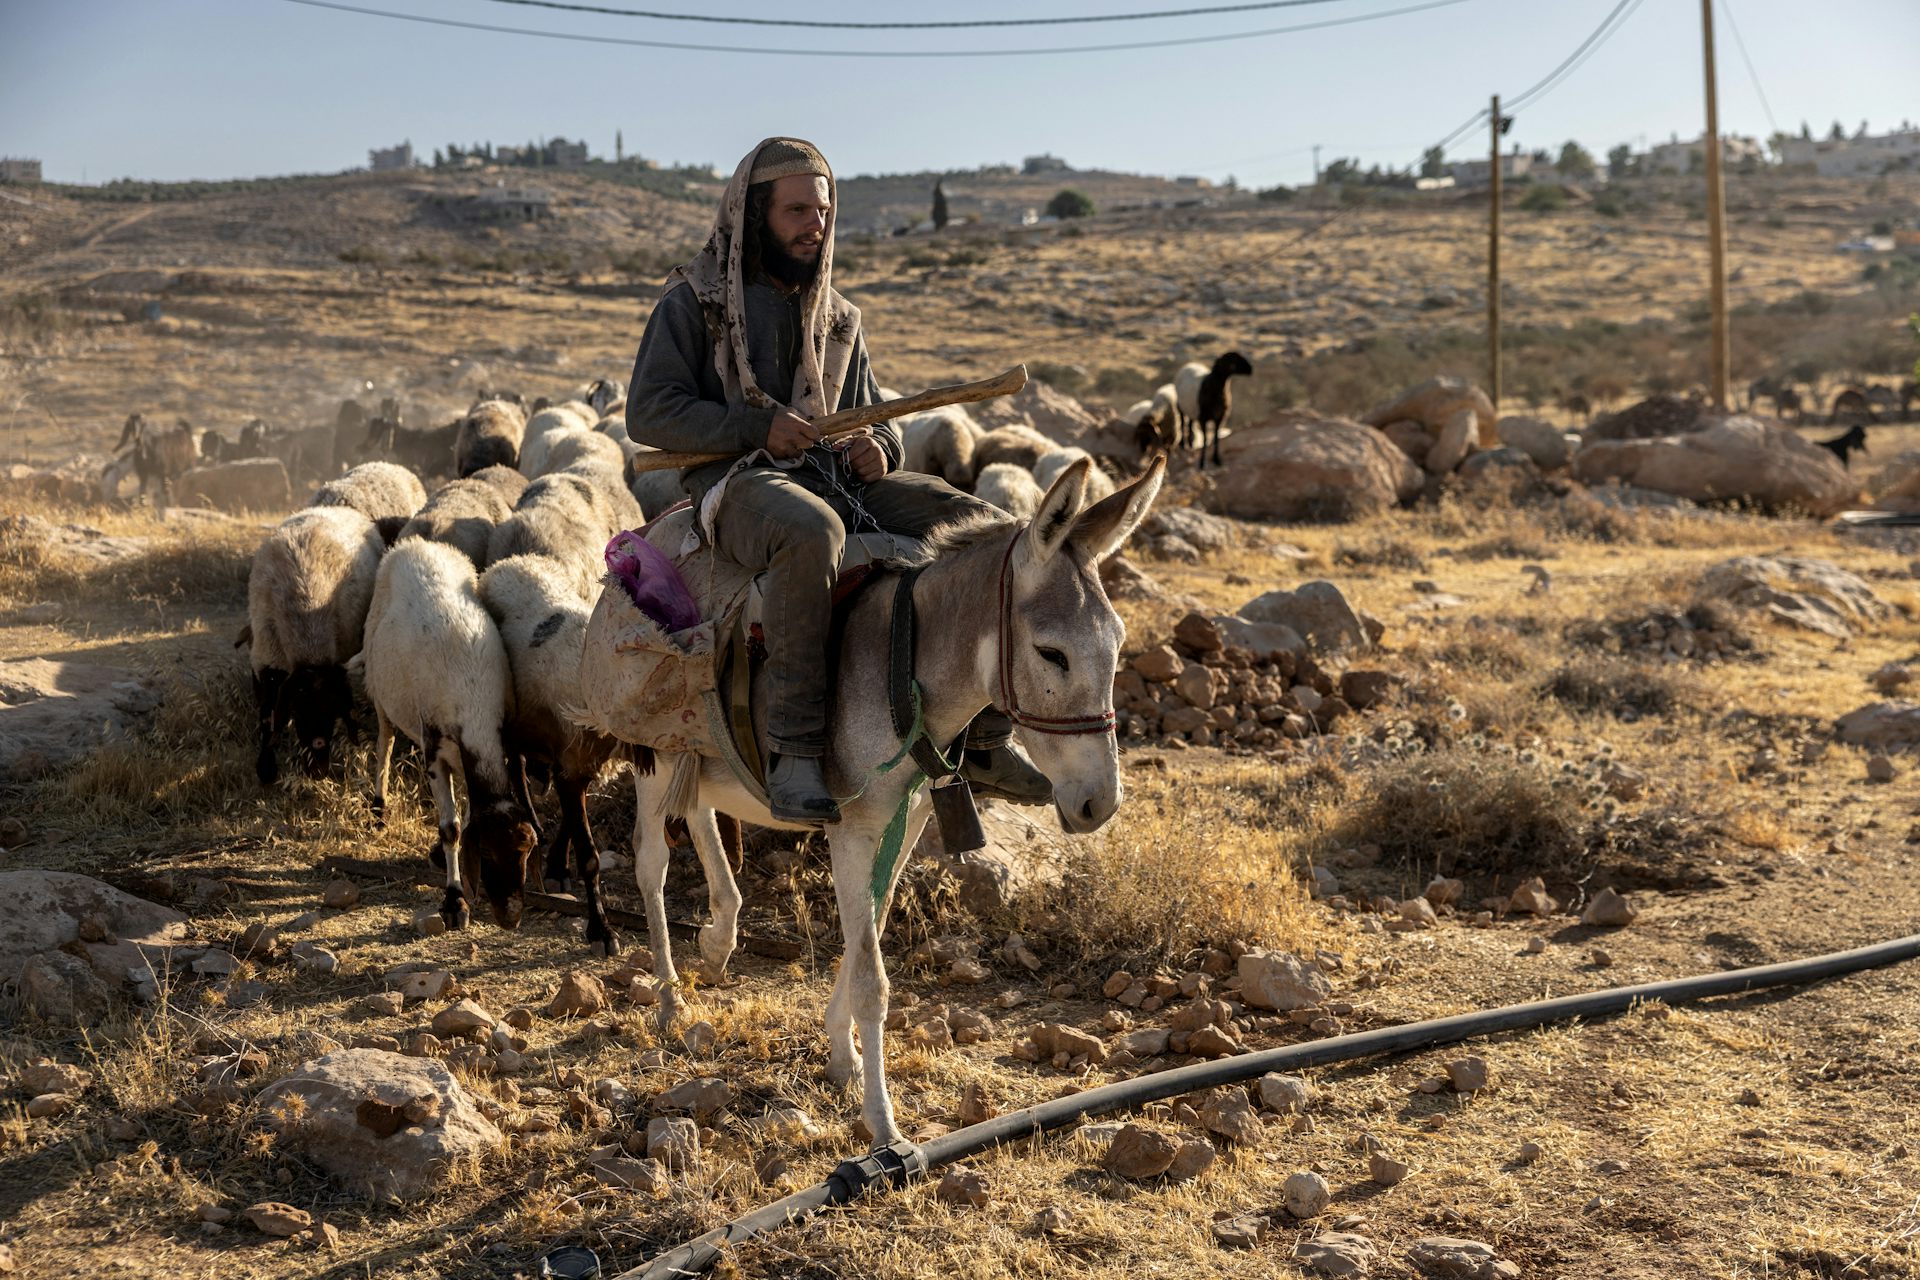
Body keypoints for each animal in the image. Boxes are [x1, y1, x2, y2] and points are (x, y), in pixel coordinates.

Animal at [245, 505, 386, 786]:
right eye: (297, 710)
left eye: (333, 712)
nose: (317, 771)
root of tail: (337, 508)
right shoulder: (268, 658)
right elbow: (267, 717)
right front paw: (266, 769)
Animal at [361, 538, 539, 932]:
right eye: (485, 852)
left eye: (527, 850)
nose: (511, 918)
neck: (474, 701)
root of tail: (416, 544)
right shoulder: (434, 753)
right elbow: (452, 828)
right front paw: (455, 901)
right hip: (380, 691)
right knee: (385, 742)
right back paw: (379, 810)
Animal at [479, 552, 623, 953]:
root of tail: (509, 562)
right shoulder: (573, 759)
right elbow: (589, 857)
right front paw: (601, 930)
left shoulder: (578, 759)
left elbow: (576, 820)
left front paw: (558, 866)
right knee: (515, 768)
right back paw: (531, 822)